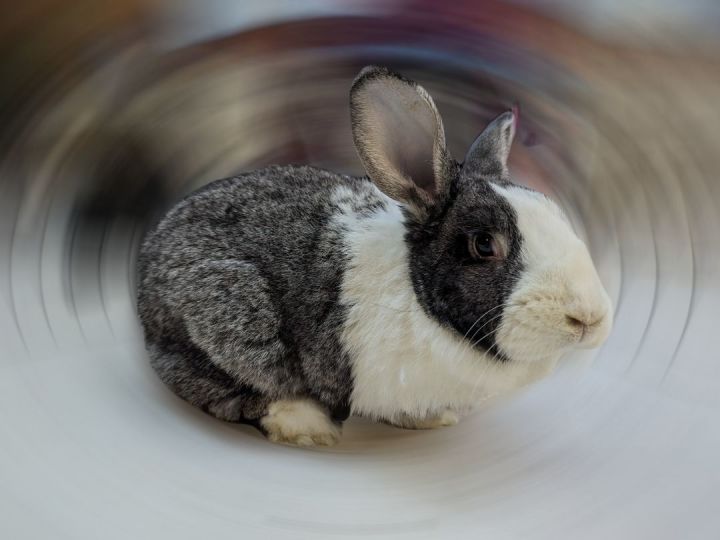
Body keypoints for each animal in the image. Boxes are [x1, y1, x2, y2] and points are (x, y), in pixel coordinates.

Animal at [136, 66, 612, 447]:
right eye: (483, 244)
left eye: (556, 213)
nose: (588, 318)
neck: (417, 298)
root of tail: (146, 271)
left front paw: (435, 419)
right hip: (228, 314)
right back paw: (307, 426)